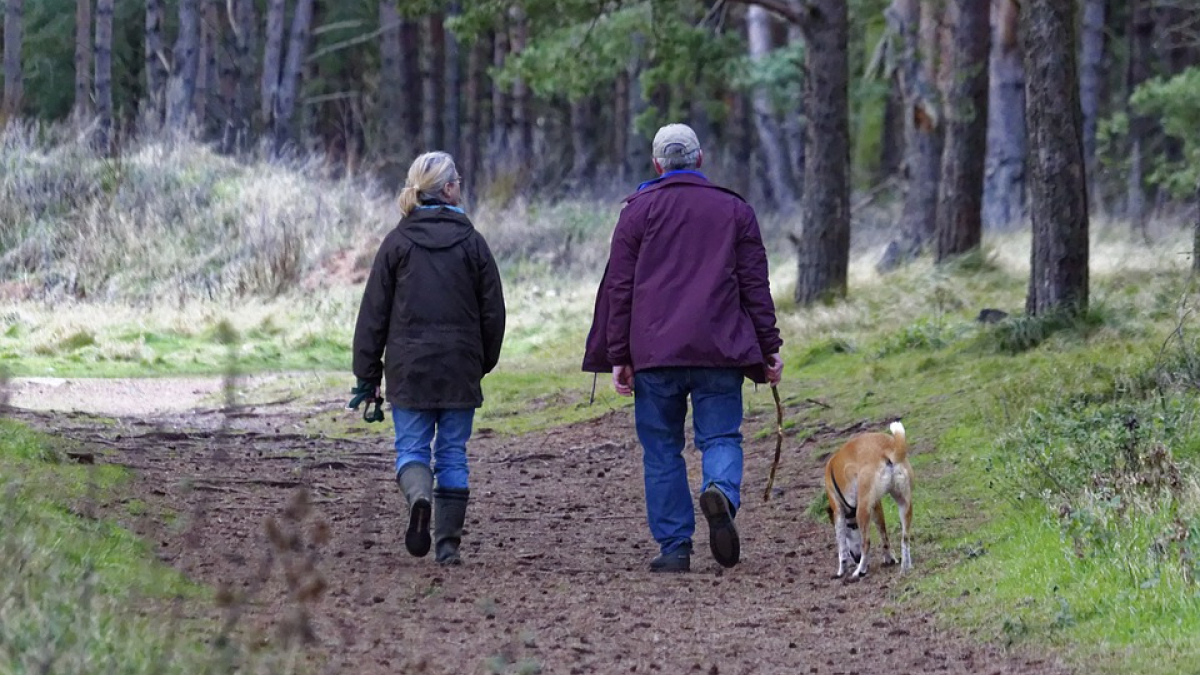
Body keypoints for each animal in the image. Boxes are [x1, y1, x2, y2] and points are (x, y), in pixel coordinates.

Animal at [820, 420, 912, 578]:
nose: (856, 558)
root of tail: (886, 449)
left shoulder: (838, 512)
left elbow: (842, 548)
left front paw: (841, 571)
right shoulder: (876, 505)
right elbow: (884, 536)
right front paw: (889, 559)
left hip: (862, 511)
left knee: (866, 544)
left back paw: (859, 571)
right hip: (904, 504)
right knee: (905, 538)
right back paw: (906, 567)